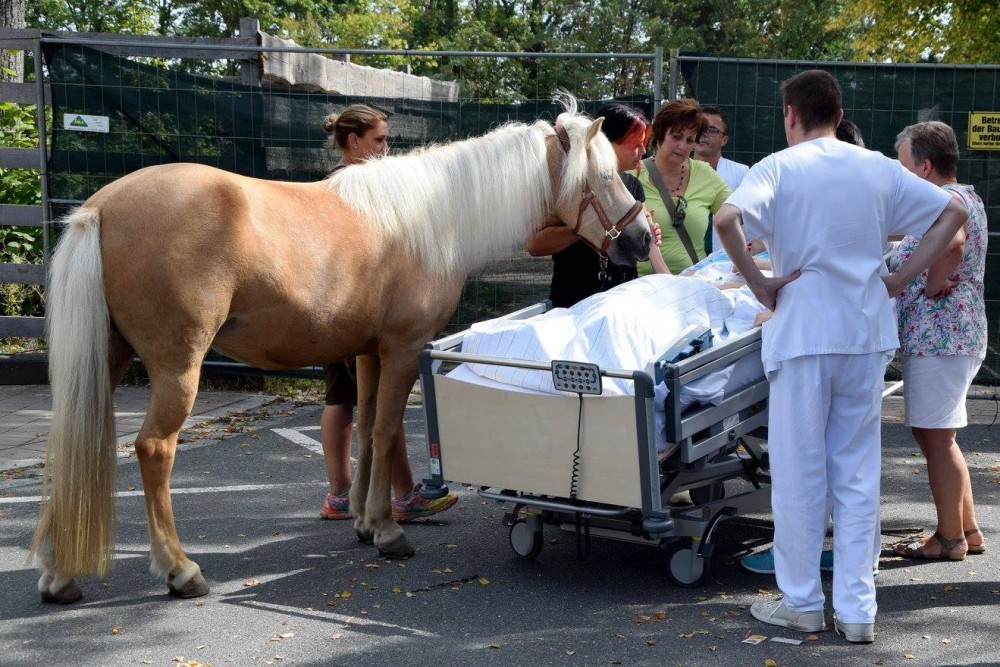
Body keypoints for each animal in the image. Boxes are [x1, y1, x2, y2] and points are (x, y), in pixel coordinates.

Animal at [29, 96, 648, 604]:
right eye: (606, 174)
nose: (642, 239)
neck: (430, 217)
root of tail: (102, 208)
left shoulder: (368, 353)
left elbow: (371, 428)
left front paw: (365, 523)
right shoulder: (402, 350)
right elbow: (388, 430)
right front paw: (390, 532)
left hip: (108, 360)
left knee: (74, 441)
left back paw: (59, 576)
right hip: (177, 368)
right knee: (154, 450)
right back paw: (181, 571)